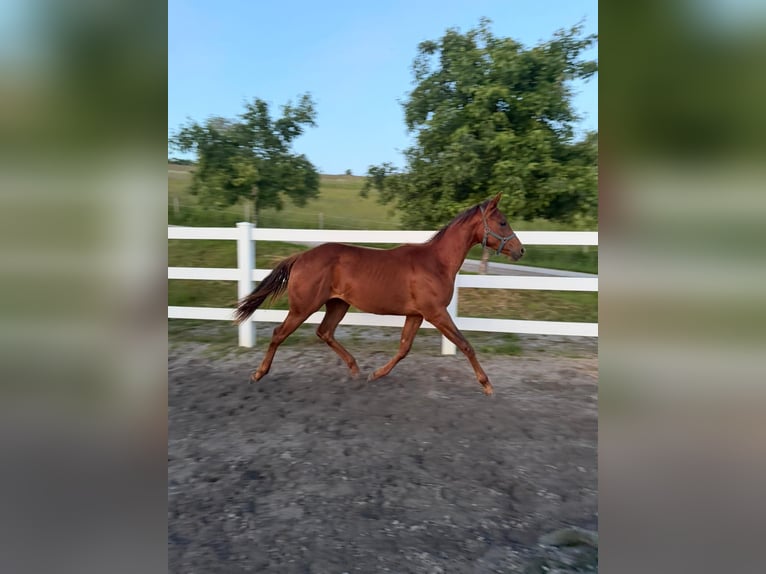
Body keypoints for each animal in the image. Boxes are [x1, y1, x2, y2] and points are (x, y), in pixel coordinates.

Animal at [234, 193, 525, 395]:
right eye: (502, 222)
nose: (520, 250)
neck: (437, 262)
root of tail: (300, 257)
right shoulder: (436, 313)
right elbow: (465, 345)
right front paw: (487, 385)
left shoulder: (416, 315)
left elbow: (404, 348)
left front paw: (375, 374)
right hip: (303, 307)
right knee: (278, 334)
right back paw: (258, 374)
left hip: (337, 304)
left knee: (324, 332)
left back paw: (354, 369)